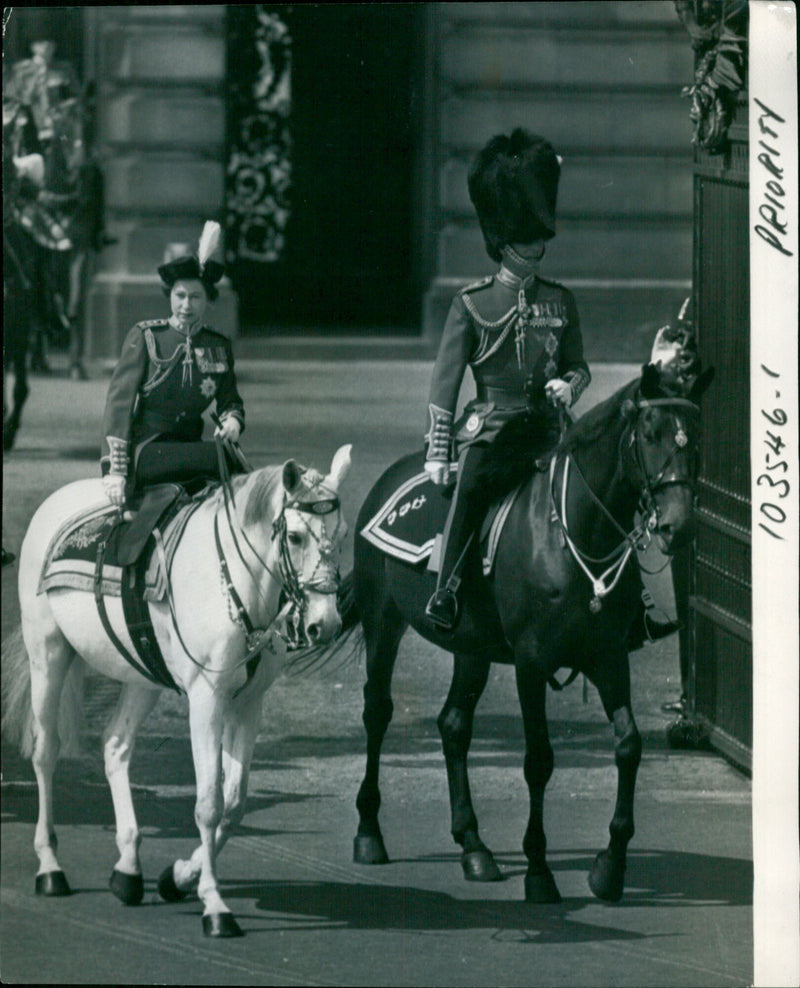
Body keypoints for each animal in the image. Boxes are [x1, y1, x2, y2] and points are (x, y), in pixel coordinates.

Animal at [336, 356, 712, 904]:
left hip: (470, 646)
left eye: (695, 435)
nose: (677, 526)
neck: (570, 529)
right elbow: (538, 760)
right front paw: (539, 870)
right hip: (383, 621)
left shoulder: (608, 658)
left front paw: (610, 867)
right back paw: (369, 833)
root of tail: (390, 478)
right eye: (650, 432)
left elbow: (629, 746)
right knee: (377, 712)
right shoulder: (532, 664)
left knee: (453, 725)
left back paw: (473, 846)